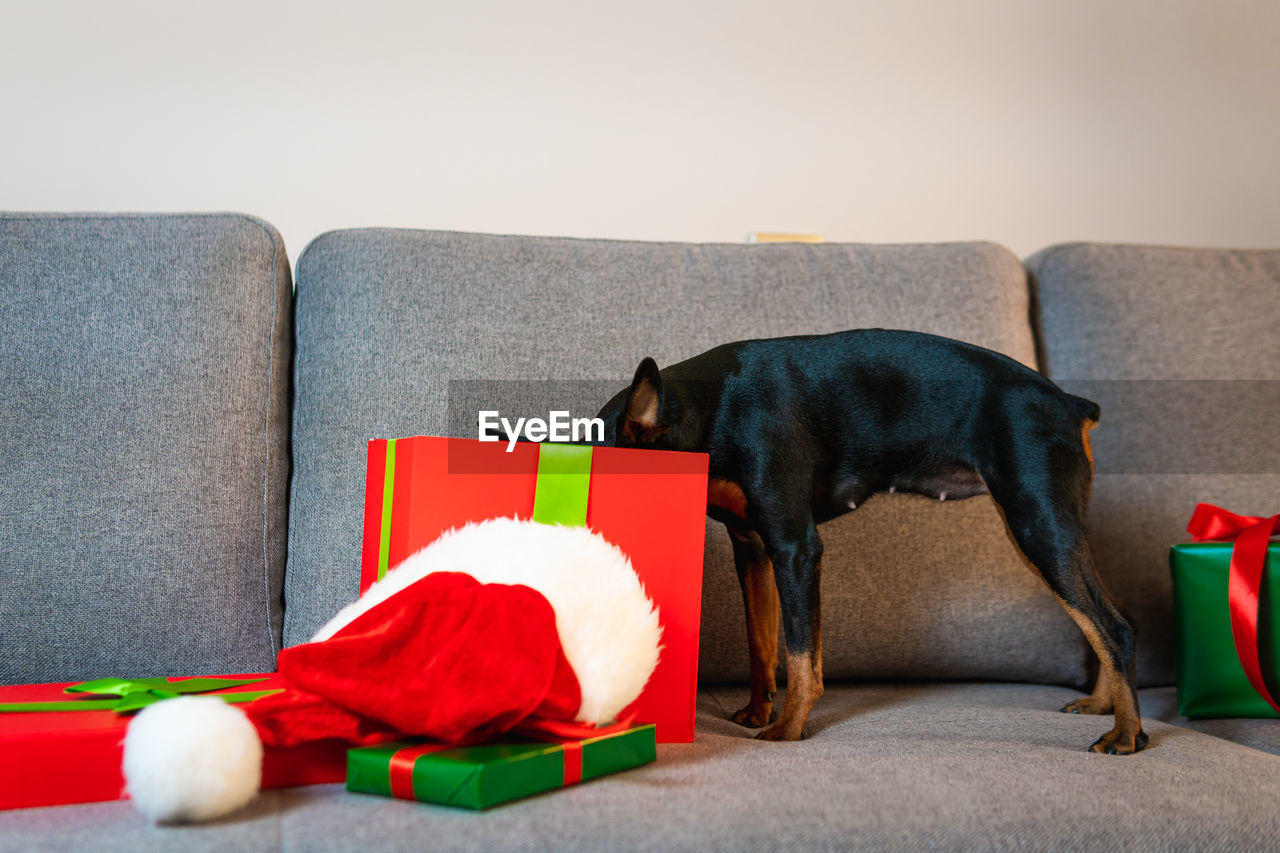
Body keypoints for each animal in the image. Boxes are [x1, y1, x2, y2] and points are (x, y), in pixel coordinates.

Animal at [599, 325, 1152, 753]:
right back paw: (1101, 705)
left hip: (1037, 524)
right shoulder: (754, 550)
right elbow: (762, 643)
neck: (710, 407)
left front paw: (788, 729)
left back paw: (1127, 735)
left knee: (1113, 626)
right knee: (1114, 616)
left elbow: (801, 654)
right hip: (1046, 530)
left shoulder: (795, 548)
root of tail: (1070, 403)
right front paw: (759, 711)